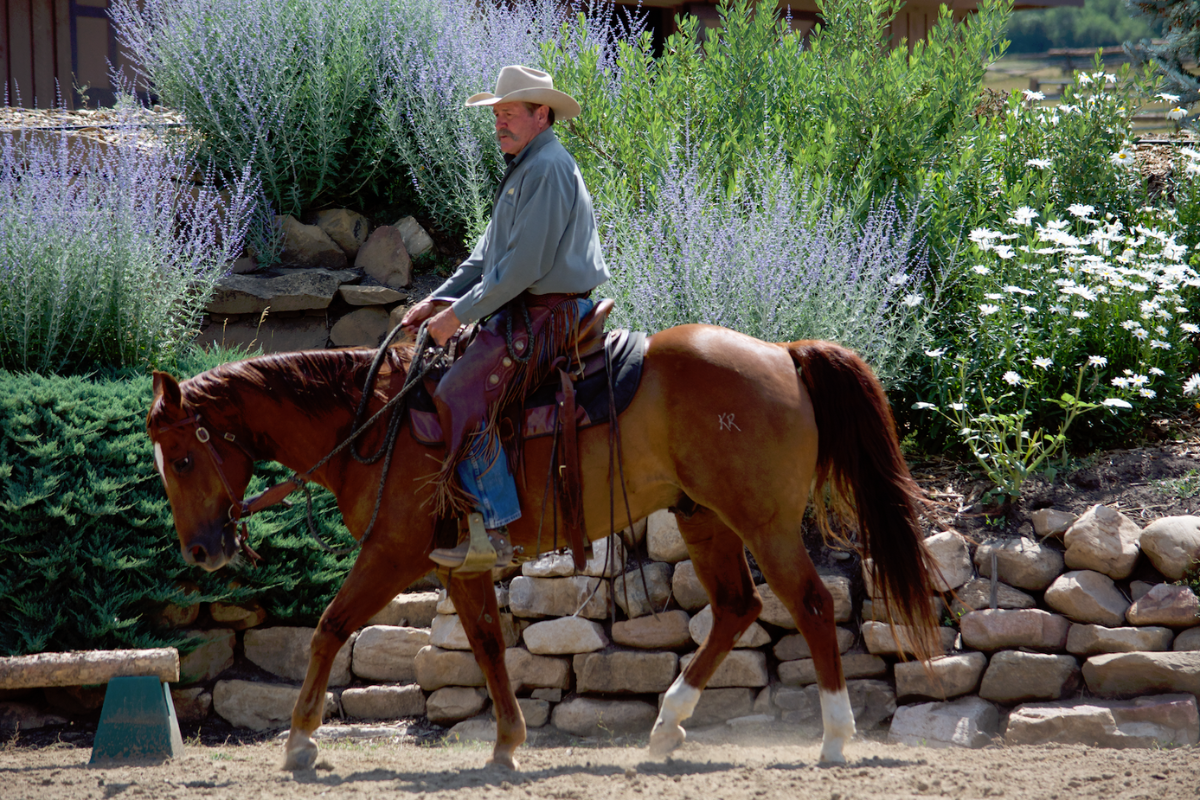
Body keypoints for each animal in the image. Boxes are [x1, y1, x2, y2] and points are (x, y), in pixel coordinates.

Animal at [146, 323, 940, 771]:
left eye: (182, 459)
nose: (201, 551)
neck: (373, 423)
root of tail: (784, 355)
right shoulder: (455, 564)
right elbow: (488, 642)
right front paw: (506, 744)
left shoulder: (395, 554)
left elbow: (330, 627)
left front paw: (301, 741)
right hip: (703, 517)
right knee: (737, 608)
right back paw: (666, 728)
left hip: (764, 523)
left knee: (809, 604)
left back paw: (834, 736)